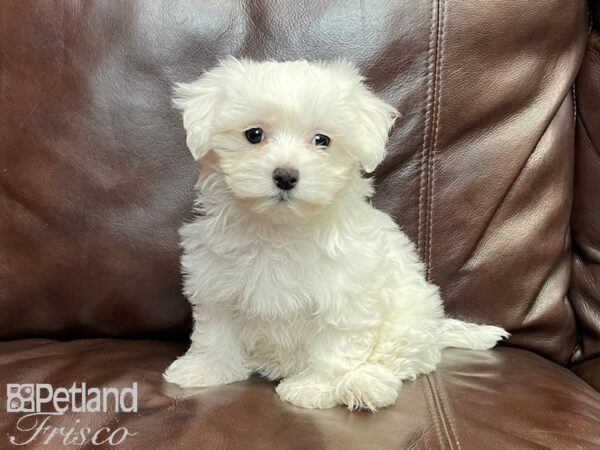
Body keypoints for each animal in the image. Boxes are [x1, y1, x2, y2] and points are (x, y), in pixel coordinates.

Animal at [163, 58, 506, 410]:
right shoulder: (216, 284)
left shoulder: (346, 295)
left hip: (407, 317)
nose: (285, 176)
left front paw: (313, 389)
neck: (280, 229)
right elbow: (216, 334)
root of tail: (436, 327)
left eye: (322, 140)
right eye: (254, 134)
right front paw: (205, 370)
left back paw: (366, 384)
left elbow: (332, 346)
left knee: (398, 359)